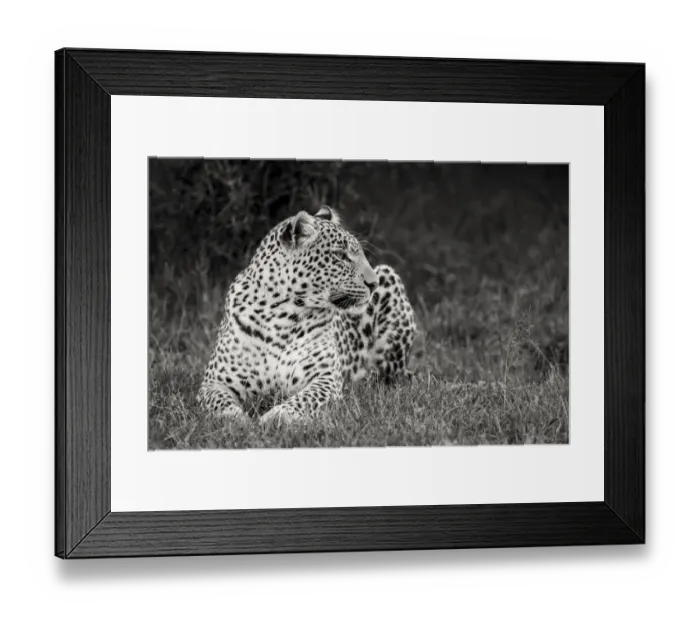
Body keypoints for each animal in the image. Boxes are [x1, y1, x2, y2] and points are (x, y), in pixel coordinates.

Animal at [197, 205, 416, 427]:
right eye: (340, 255)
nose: (373, 283)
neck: (280, 315)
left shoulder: (325, 379)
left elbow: (306, 399)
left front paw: (277, 417)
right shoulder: (214, 381)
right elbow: (219, 402)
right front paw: (236, 420)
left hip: (389, 278)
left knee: (387, 376)